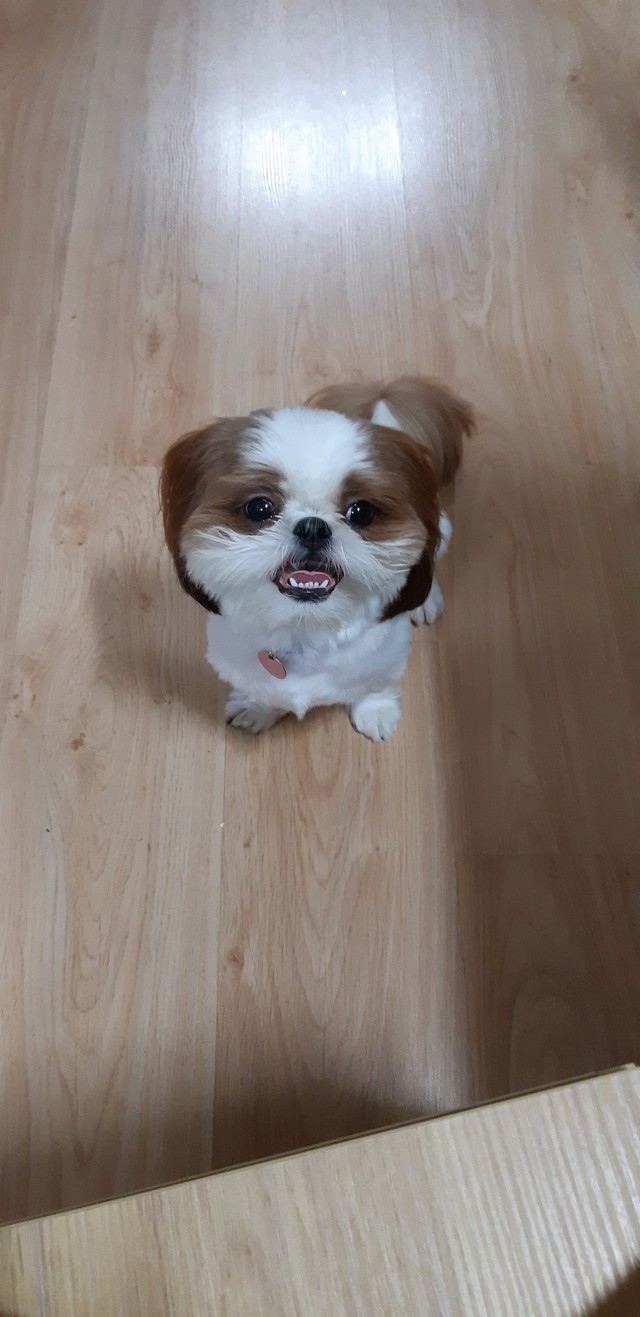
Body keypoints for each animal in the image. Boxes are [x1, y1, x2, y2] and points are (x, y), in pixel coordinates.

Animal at [160, 377, 473, 740]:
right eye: (259, 507)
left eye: (361, 512)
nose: (313, 527)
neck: (304, 629)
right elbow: (260, 689)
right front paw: (256, 706)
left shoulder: (385, 656)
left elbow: (374, 684)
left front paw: (375, 709)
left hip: (442, 530)